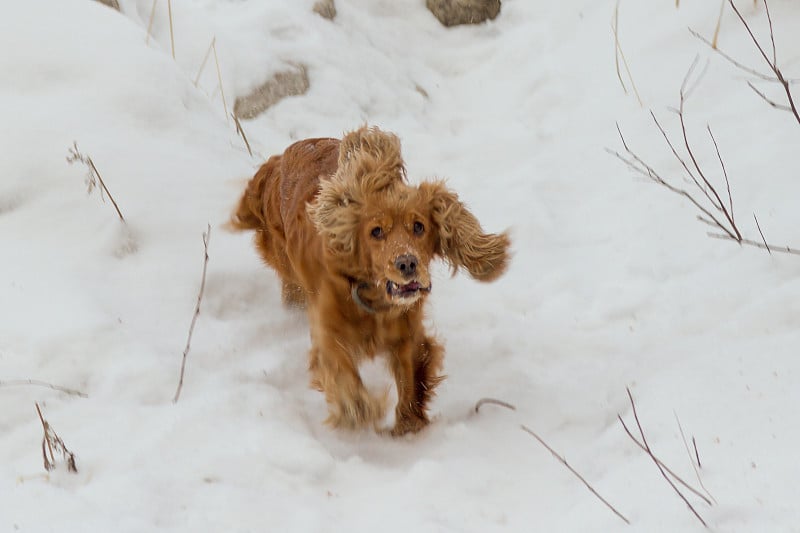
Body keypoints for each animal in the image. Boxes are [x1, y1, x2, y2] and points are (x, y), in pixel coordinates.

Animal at [230, 127, 512, 434]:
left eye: (419, 226)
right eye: (376, 231)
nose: (407, 263)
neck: (376, 301)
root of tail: (279, 159)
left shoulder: (407, 333)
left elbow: (411, 376)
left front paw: (408, 427)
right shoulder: (329, 330)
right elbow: (340, 370)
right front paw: (358, 409)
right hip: (286, 265)